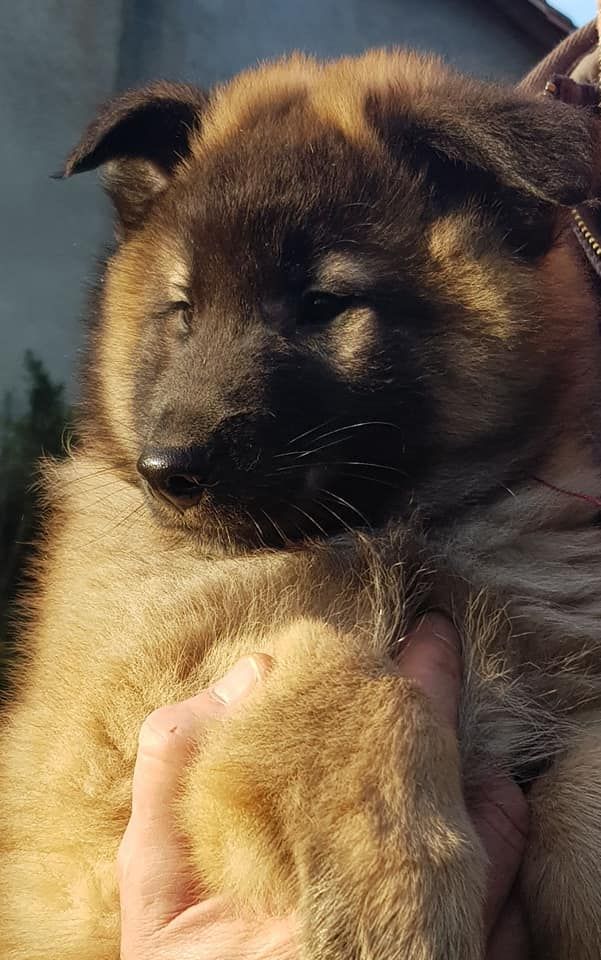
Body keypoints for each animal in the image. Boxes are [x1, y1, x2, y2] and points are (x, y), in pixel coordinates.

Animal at [1, 50, 600, 960]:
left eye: (322, 304)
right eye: (183, 311)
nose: (166, 471)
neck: (391, 532)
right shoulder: (128, 720)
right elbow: (343, 673)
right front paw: (400, 895)